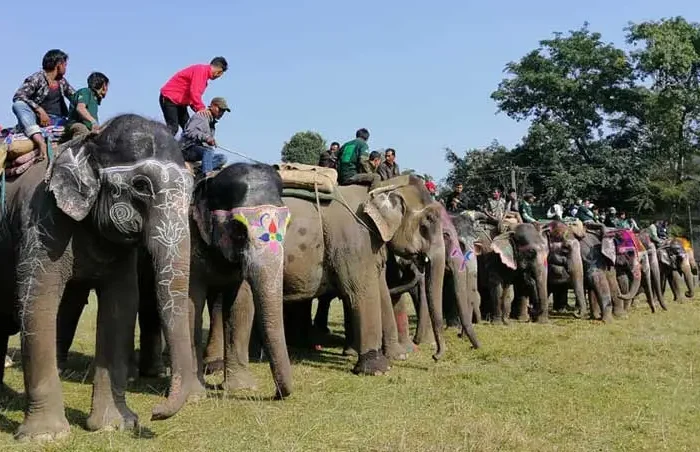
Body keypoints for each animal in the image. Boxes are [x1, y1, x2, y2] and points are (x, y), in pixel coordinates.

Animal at [0, 114, 196, 442]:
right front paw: (46, 436)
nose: (154, 413)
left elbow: (122, 306)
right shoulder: (40, 221)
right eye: (141, 186)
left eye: (193, 189)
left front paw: (115, 425)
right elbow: (37, 301)